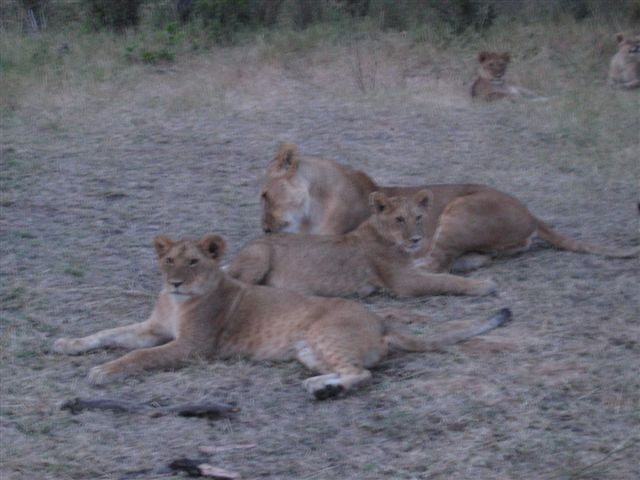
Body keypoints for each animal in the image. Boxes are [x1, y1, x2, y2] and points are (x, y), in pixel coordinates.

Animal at [53, 234, 516, 400]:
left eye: (193, 262)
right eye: (168, 261)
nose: (176, 282)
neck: (176, 302)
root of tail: (381, 322)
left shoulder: (191, 348)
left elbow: (138, 356)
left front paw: (104, 372)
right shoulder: (152, 328)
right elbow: (107, 333)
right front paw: (68, 344)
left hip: (324, 336)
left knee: (362, 373)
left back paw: (323, 391)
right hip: (307, 350)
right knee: (348, 369)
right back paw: (320, 384)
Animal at [230, 189, 496, 298]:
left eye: (418, 218)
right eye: (399, 219)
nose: (416, 240)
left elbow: (445, 272)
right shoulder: (404, 281)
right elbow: (445, 280)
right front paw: (484, 285)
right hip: (261, 253)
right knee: (240, 284)